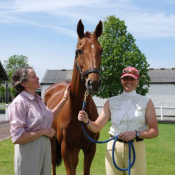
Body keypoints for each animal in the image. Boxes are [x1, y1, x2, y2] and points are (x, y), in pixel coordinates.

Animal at [44, 19, 102, 175]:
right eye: (79, 51)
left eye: (100, 50)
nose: (93, 83)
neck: (76, 107)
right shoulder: (66, 149)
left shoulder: (90, 148)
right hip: (52, 140)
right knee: (52, 162)